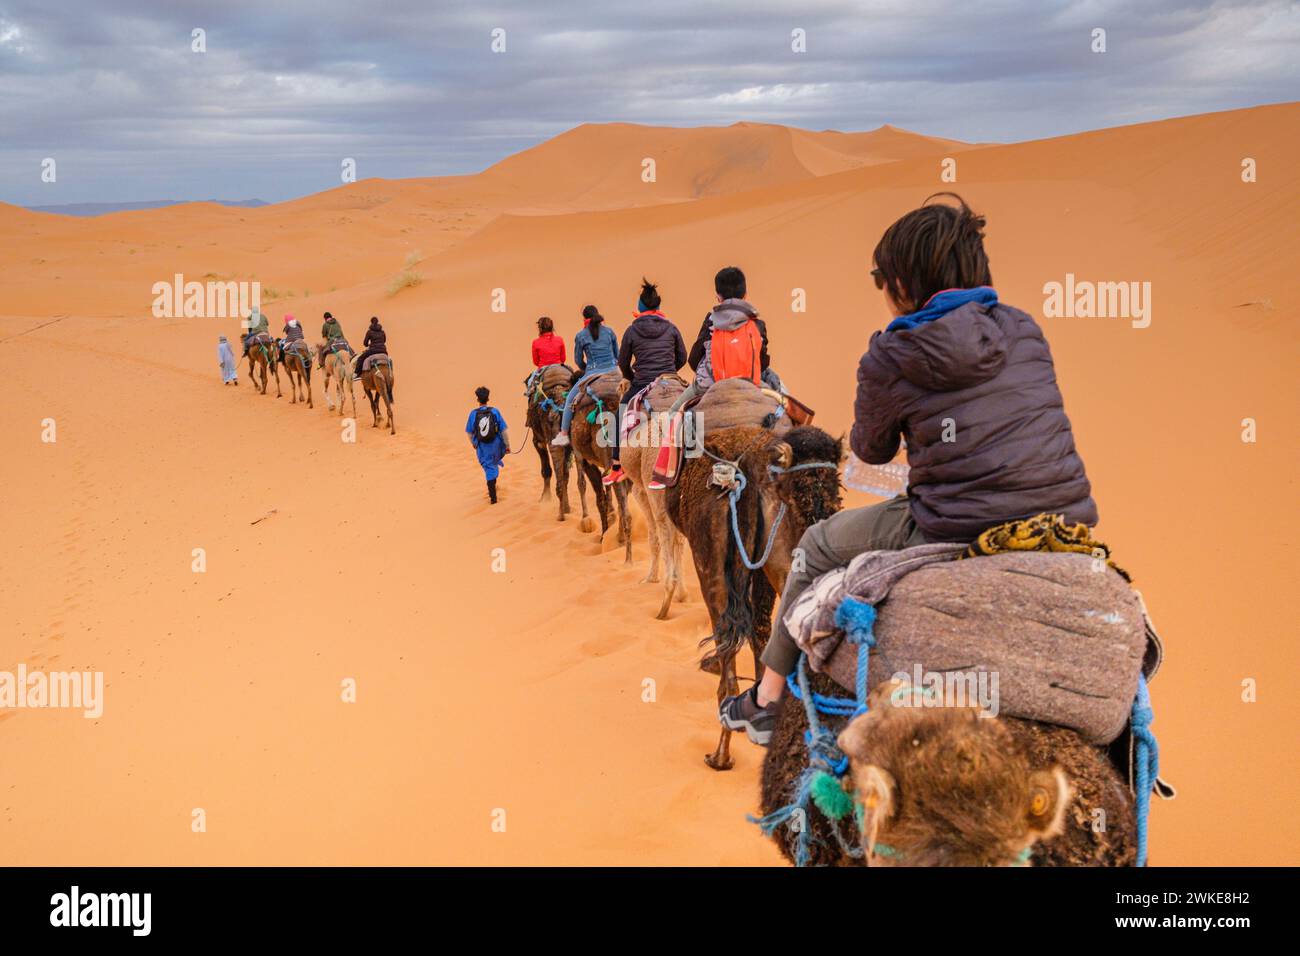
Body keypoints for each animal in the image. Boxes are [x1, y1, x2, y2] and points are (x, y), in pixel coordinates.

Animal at [525, 364, 592, 522]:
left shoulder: (538, 441)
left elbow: (547, 470)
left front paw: (544, 499)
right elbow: (566, 474)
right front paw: (568, 508)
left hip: (552, 440)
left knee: (559, 477)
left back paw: (561, 515)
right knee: (580, 482)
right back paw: (585, 517)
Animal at [618, 374, 691, 621]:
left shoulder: (640, 491)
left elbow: (653, 537)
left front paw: (650, 577)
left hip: (654, 488)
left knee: (665, 531)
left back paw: (667, 596)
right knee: (678, 536)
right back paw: (680, 592)